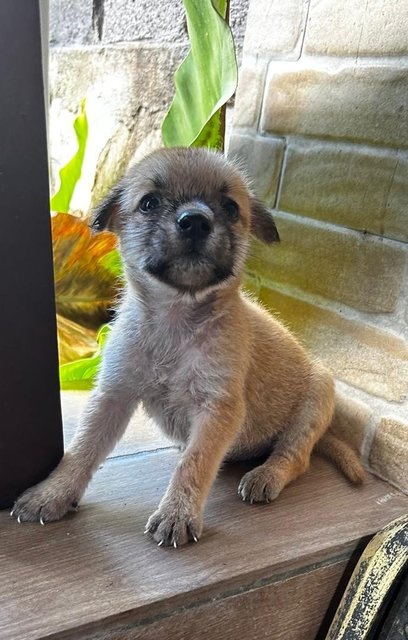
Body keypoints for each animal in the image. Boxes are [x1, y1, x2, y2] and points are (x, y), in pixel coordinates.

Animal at [11, 146, 364, 544]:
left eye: (230, 207)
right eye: (149, 203)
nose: (195, 221)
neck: (175, 322)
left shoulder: (217, 409)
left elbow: (194, 464)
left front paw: (177, 513)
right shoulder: (113, 395)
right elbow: (82, 448)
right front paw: (52, 493)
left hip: (318, 396)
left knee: (294, 455)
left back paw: (266, 475)